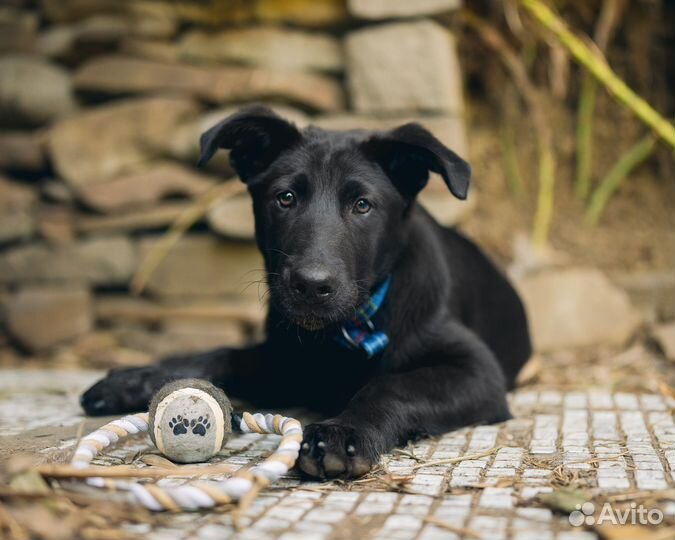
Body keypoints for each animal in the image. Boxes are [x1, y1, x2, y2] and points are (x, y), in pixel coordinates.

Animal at [80, 104, 532, 476]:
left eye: (362, 205)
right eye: (285, 198)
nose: (312, 286)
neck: (343, 334)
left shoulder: (478, 372)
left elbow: (392, 385)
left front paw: (342, 432)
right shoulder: (287, 358)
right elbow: (221, 355)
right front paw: (134, 380)